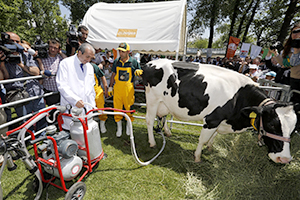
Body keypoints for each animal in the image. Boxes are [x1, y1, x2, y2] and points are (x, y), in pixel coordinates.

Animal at [141, 59, 300, 164]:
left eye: (293, 130)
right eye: (272, 124)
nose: (284, 159)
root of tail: (151, 62)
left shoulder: (221, 121)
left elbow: (214, 136)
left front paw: (210, 148)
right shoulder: (212, 119)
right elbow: (203, 139)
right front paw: (197, 156)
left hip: (165, 103)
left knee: (163, 117)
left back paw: (167, 132)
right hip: (153, 99)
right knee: (149, 120)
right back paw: (152, 142)